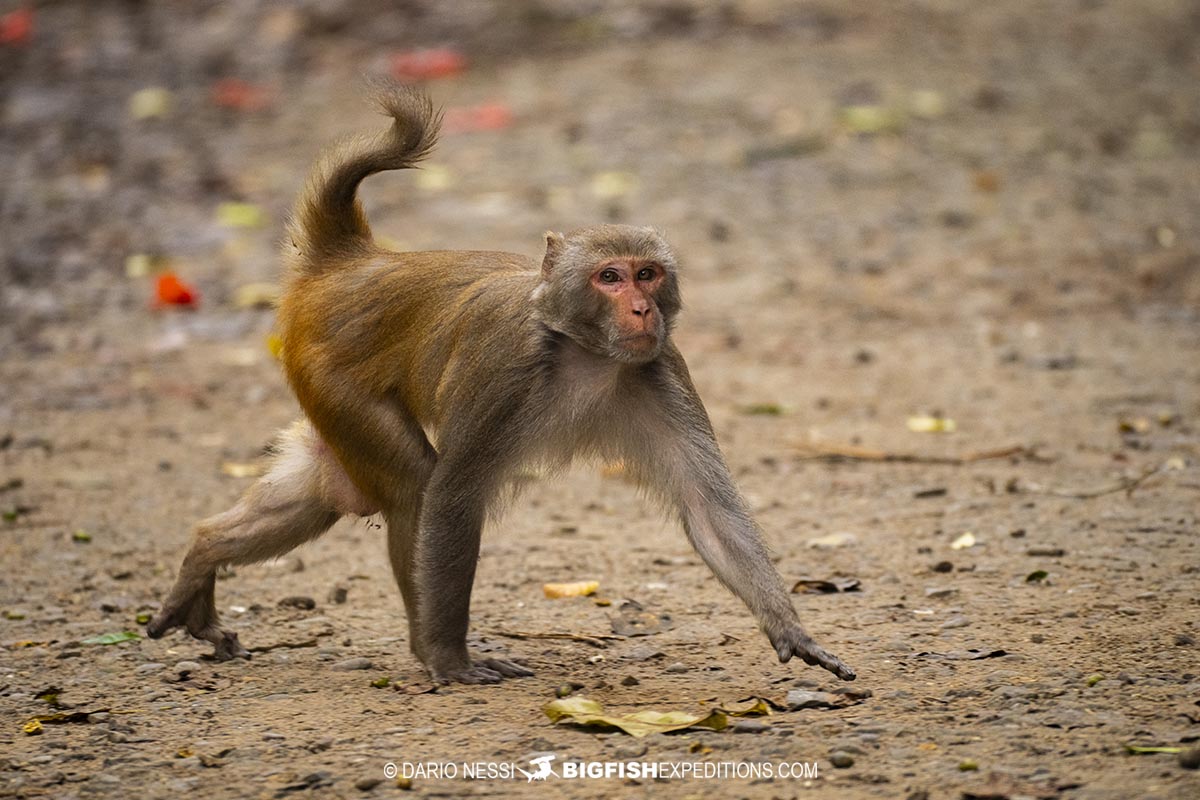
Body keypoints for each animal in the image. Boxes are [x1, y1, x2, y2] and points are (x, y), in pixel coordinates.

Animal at [147, 85, 856, 686]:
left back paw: (203, 555)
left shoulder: (662, 372)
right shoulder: (506, 370)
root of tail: (352, 263)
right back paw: (427, 650)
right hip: (331, 376)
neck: (584, 353)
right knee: (412, 485)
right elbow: (452, 494)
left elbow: (708, 511)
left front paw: (791, 630)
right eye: (609, 277)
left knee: (328, 485)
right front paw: (450, 657)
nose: (640, 310)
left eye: (648, 274)